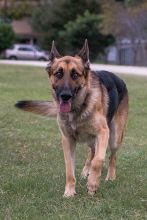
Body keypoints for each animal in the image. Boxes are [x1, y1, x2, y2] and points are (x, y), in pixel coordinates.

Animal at [15, 39, 129, 198]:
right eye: (58, 73)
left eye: (75, 74)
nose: (65, 96)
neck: (78, 109)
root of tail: (120, 79)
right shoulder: (67, 140)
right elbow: (70, 168)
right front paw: (69, 191)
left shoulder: (103, 132)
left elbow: (99, 160)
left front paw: (93, 184)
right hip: (93, 139)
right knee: (91, 152)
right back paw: (86, 171)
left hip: (114, 137)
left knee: (112, 156)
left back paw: (110, 176)